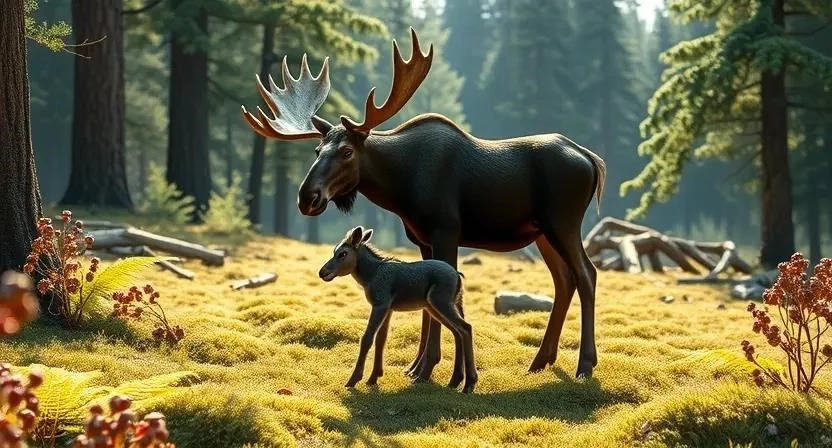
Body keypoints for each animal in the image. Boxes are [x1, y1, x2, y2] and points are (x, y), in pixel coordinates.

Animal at [319, 226, 477, 393]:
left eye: (342, 253)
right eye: (334, 251)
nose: (322, 272)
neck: (371, 275)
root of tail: (458, 276)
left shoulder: (380, 304)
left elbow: (367, 338)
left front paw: (353, 380)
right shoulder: (388, 308)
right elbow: (381, 339)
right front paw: (373, 377)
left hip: (441, 302)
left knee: (465, 327)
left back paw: (469, 383)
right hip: (434, 307)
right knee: (457, 331)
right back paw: (455, 380)